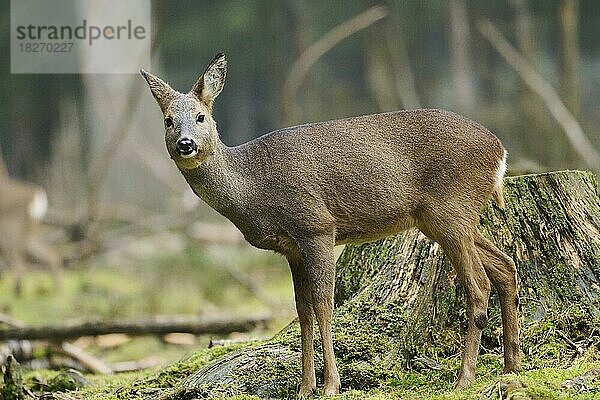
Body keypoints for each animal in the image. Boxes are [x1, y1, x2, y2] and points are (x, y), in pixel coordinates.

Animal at [141, 53, 520, 396]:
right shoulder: (291, 249)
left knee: (479, 284)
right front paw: (304, 387)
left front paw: (330, 385)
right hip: (446, 218)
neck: (253, 186)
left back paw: (464, 378)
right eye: (168, 120)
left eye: (201, 116)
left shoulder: (317, 226)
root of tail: (501, 151)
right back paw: (511, 365)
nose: (186, 144)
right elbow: (302, 311)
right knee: (505, 265)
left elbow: (324, 305)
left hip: (450, 208)